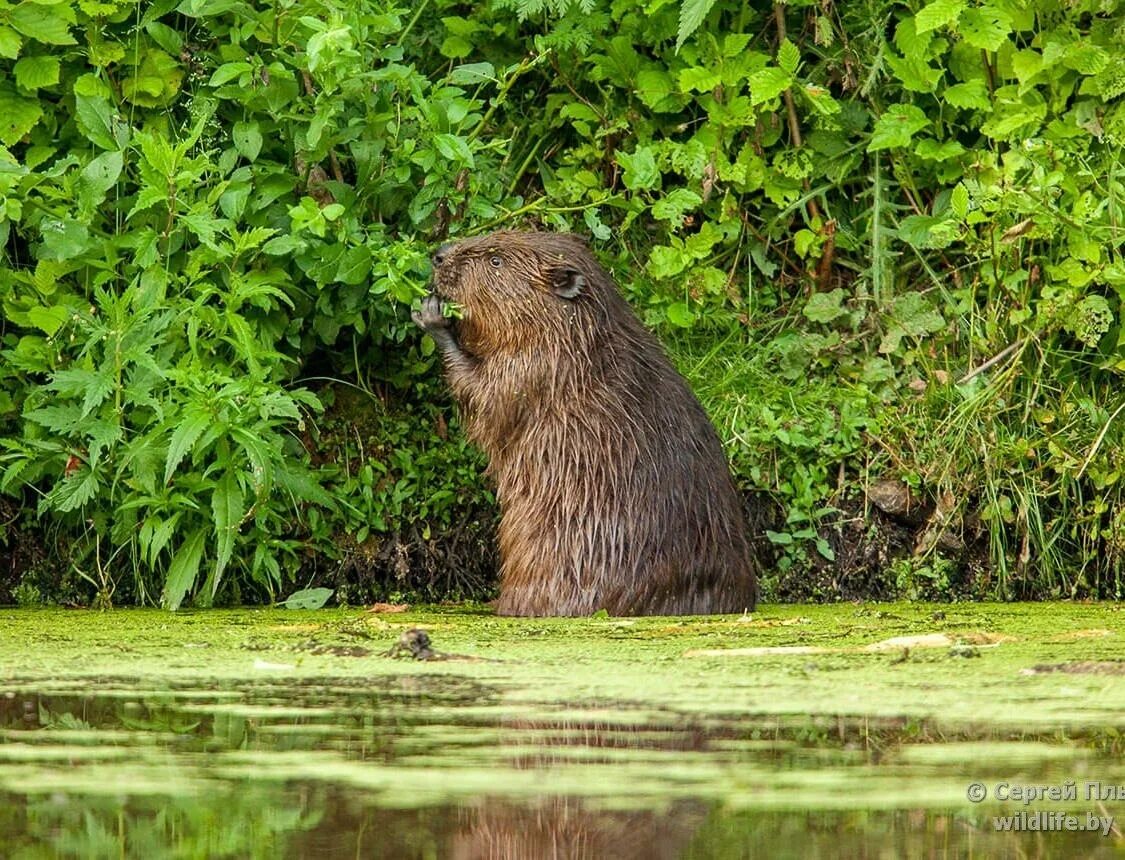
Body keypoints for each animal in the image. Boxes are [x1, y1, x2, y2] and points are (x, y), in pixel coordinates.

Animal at [418, 231, 760, 616]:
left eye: (496, 260)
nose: (439, 255)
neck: (582, 338)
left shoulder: (540, 367)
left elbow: (488, 397)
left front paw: (433, 314)